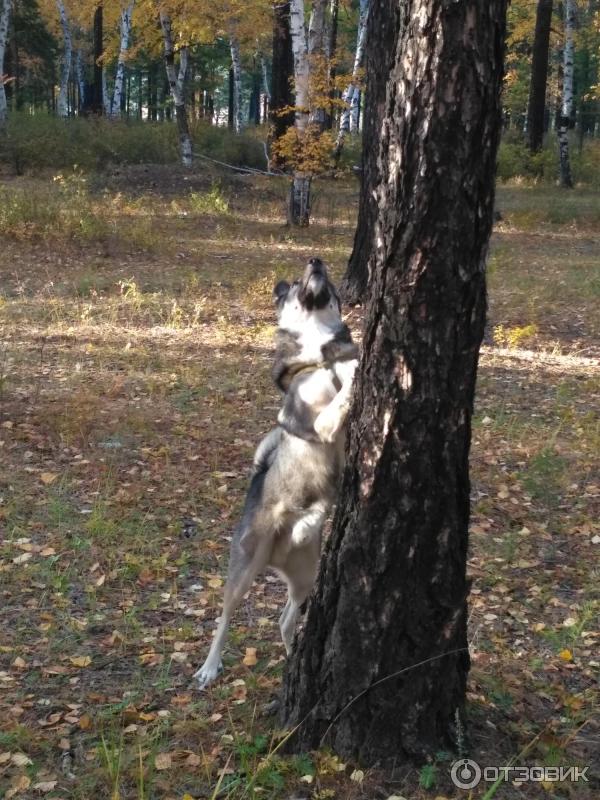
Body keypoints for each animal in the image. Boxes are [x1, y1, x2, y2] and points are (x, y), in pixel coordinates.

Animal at [195, 256, 358, 688]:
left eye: (327, 282)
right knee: (224, 619)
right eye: (294, 287)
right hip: (243, 570)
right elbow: (341, 394)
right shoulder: (316, 422)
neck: (320, 349)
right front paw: (357, 364)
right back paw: (209, 667)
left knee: (285, 620)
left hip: (305, 577)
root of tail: (277, 553)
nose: (316, 260)